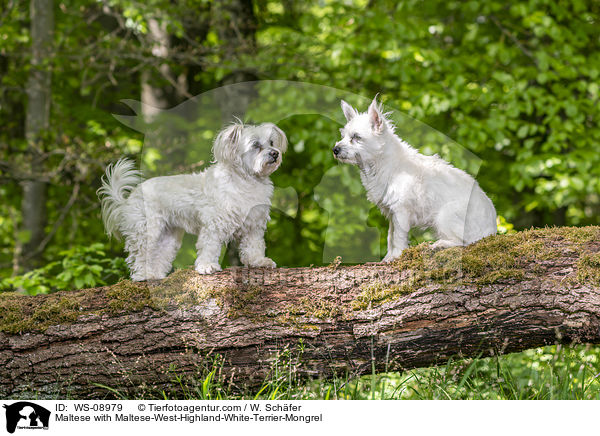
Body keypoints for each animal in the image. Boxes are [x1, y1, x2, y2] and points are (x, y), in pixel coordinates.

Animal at [98, 121, 286, 282]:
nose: (275, 153)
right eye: (255, 145)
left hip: (168, 239)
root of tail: (129, 199)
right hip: (147, 231)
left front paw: (259, 261)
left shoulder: (254, 225)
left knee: (158, 257)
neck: (246, 181)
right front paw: (207, 266)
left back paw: (154, 275)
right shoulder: (214, 225)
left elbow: (254, 246)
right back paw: (142, 275)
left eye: (271, 142)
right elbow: (210, 246)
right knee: (140, 256)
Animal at [332, 98, 496, 262]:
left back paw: (441, 244)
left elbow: (398, 238)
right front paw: (388, 258)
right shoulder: (392, 214)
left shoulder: (401, 211)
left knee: (464, 242)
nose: (335, 150)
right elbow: (390, 237)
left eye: (356, 137)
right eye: (343, 136)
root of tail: (491, 231)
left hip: (444, 216)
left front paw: (396, 256)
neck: (383, 163)